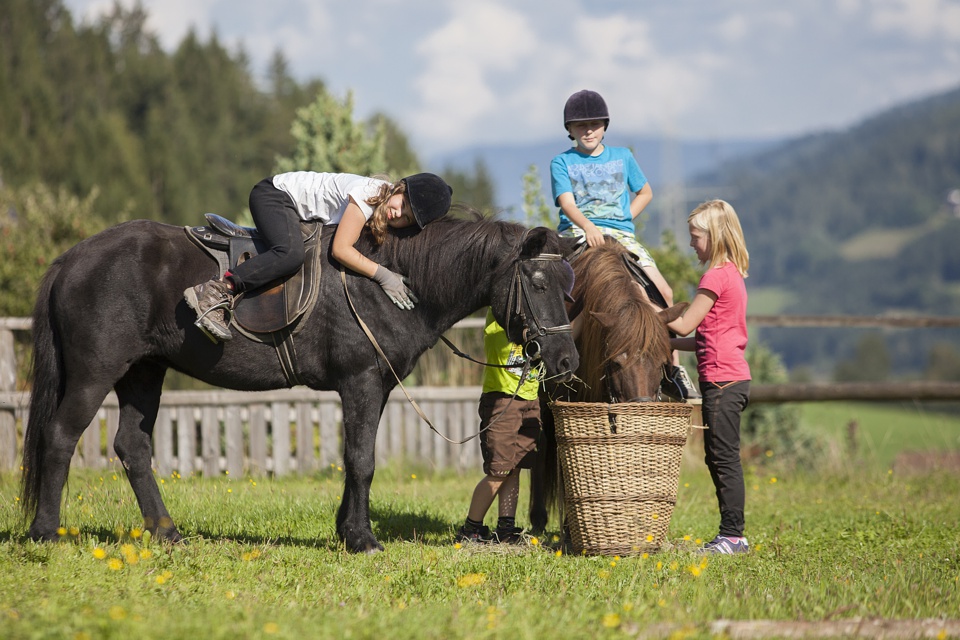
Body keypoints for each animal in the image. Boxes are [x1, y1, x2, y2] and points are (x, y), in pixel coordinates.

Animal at [22, 214, 576, 552]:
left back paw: (166, 531)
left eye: (571, 288)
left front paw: (347, 530)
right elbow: (362, 460)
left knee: (132, 447)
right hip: (96, 372)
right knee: (60, 437)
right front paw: (362, 538)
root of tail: (71, 259)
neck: (385, 279)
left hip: (143, 372)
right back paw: (46, 532)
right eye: (539, 284)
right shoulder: (359, 383)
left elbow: (356, 460)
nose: (567, 359)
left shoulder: (375, 388)